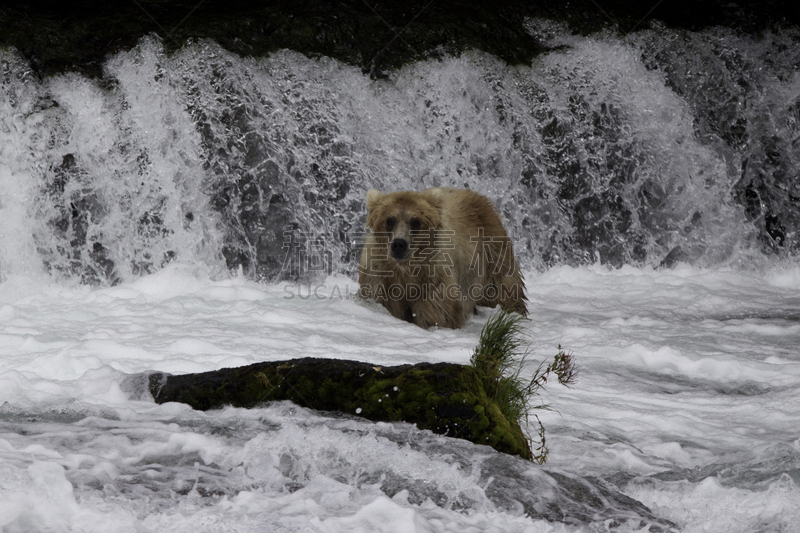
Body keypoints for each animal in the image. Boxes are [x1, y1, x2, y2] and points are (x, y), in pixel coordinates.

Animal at [360, 187, 528, 328]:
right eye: (389, 220)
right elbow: (383, 301)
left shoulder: (434, 273)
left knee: (501, 287)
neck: (407, 268)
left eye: (415, 221)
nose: (399, 244)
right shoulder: (381, 273)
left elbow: (436, 309)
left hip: (490, 253)